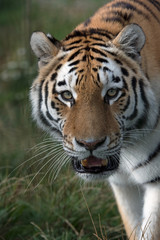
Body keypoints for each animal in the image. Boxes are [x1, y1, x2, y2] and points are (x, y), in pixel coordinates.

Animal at [30, 0, 160, 238]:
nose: (90, 144)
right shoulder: (123, 185)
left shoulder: (157, 182)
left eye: (112, 93)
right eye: (67, 95)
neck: (130, 148)